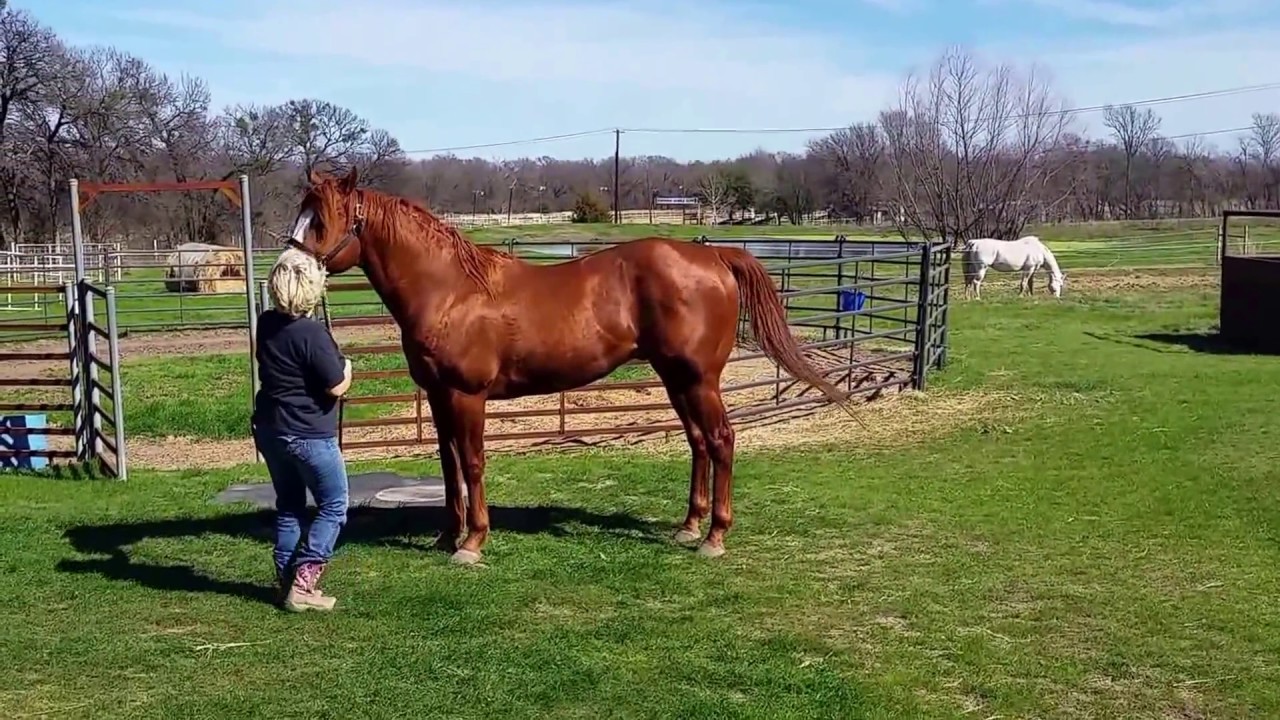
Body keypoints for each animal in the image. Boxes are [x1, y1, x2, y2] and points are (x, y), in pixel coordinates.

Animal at [282, 168, 858, 564]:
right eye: (300, 213)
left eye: (323, 219)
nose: (287, 270)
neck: (451, 290)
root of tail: (714, 257)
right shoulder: (442, 398)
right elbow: (448, 468)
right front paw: (448, 534)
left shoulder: (468, 397)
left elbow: (473, 464)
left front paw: (473, 542)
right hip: (676, 379)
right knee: (698, 441)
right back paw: (689, 526)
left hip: (699, 378)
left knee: (720, 440)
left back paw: (714, 536)